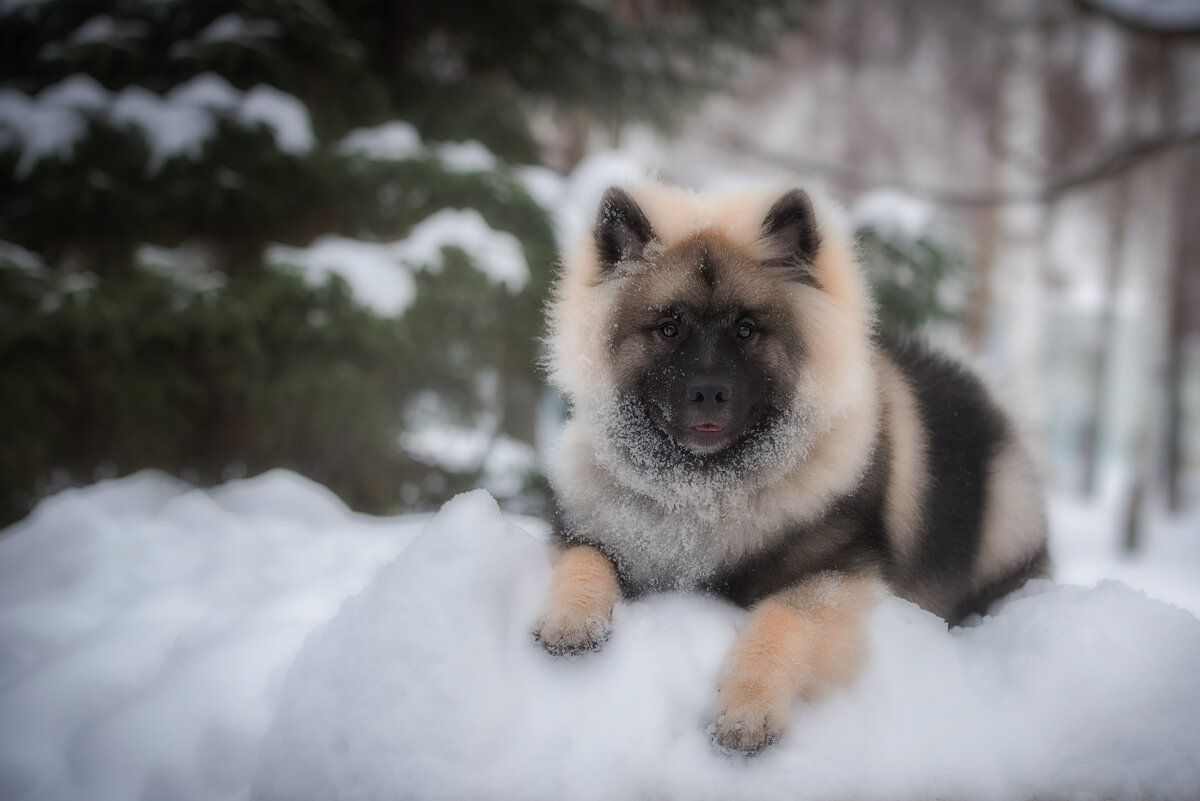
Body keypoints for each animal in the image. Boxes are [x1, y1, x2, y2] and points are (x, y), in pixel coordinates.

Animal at [535, 184, 1051, 753]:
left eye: (746, 330)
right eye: (669, 328)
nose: (708, 393)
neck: (704, 489)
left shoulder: (831, 574)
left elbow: (782, 621)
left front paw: (746, 710)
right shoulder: (591, 526)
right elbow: (586, 559)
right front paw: (571, 619)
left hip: (1003, 526)